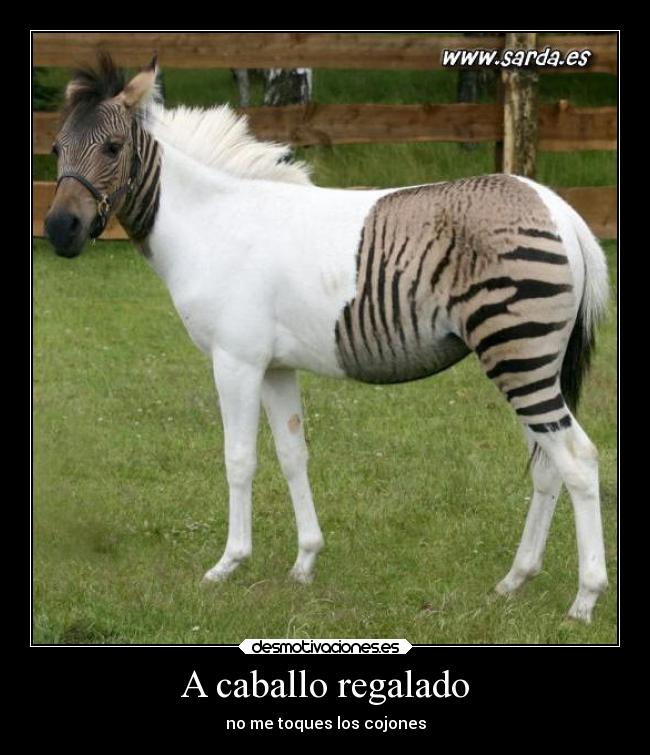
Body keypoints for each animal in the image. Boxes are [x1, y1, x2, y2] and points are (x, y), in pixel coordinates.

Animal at [43, 53, 610, 623]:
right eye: (55, 149)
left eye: (113, 148)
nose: (59, 230)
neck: (211, 225)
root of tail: (556, 207)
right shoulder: (275, 366)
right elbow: (293, 454)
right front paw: (305, 563)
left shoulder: (236, 360)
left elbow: (239, 459)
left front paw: (228, 564)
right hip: (531, 360)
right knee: (548, 466)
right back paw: (515, 580)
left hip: (518, 354)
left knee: (578, 460)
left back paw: (584, 598)